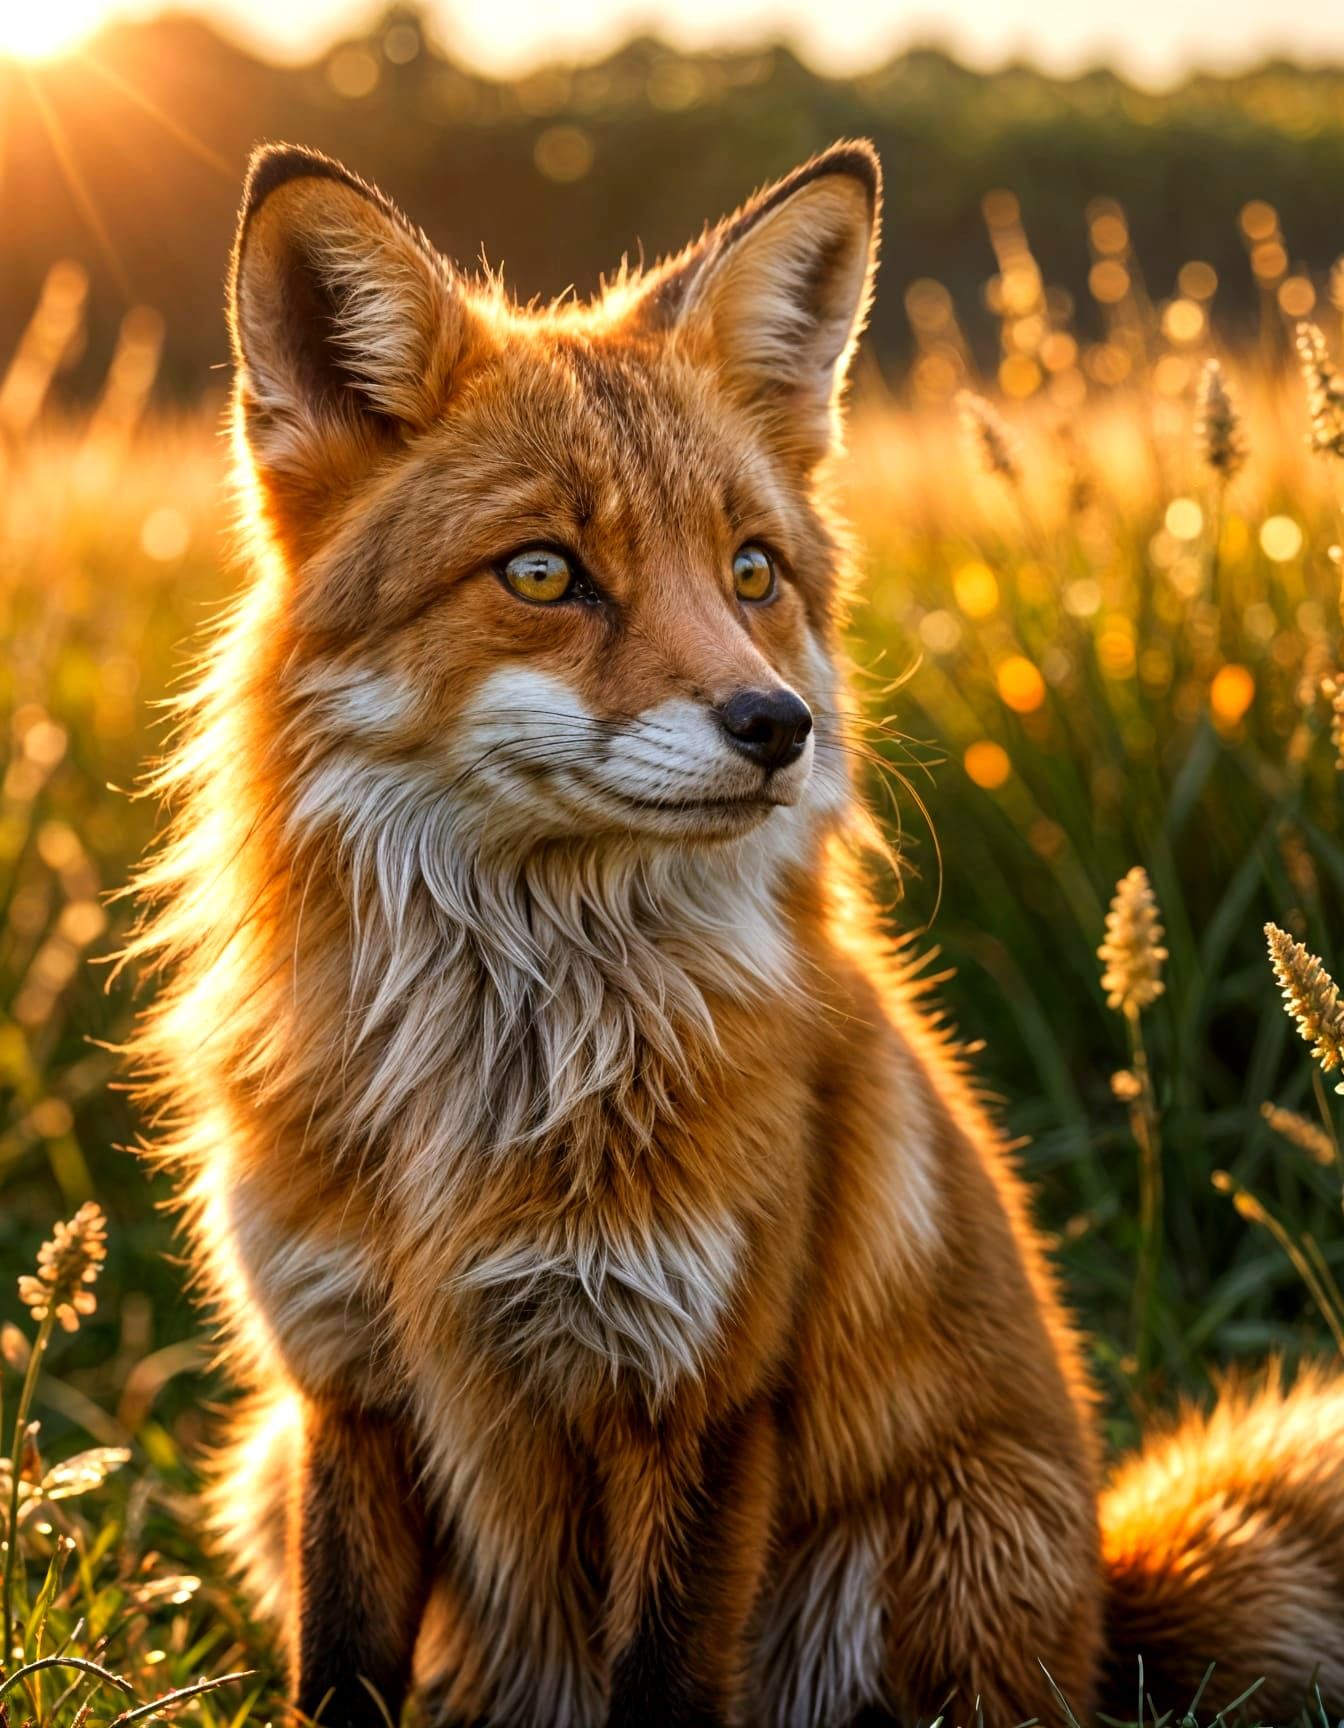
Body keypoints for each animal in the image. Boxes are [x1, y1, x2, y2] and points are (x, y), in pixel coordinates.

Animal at [128, 136, 1344, 1727]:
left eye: (753, 571)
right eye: (543, 573)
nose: (780, 726)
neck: (501, 1061)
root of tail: (1100, 1616)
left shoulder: (699, 1392)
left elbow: (663, 1678)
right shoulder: (343, 1385)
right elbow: (337, 1676)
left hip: (939, 1552)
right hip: (265, 1467)